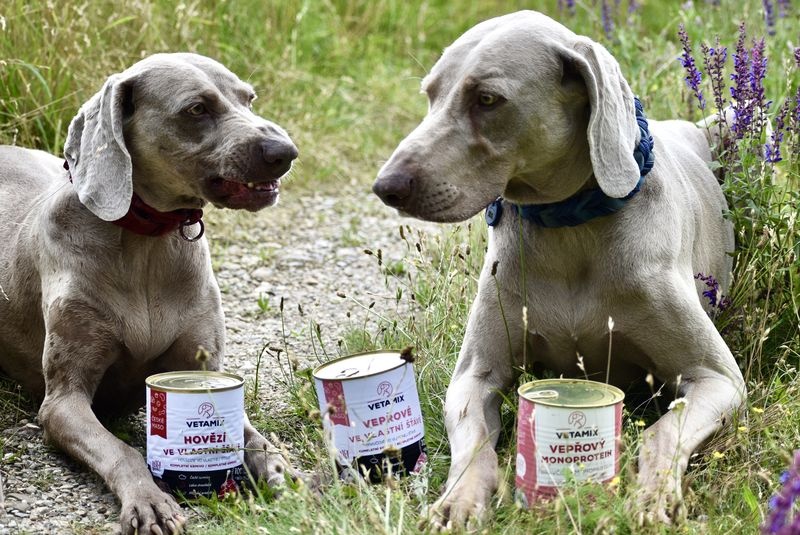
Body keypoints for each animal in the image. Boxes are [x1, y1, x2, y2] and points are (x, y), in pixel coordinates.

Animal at [0, 53, 298, 534]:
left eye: (249, 99)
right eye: (196, 109)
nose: (286, 152)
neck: (145, 242)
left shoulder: (204, 368)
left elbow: (252, 434)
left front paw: (279, 469)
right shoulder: (63, 401)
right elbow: (122, 451)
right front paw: (149, 499)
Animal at [372, 10, 745, 528]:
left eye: (487, 99)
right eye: (430, 93)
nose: (386, 186)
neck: (568, 227)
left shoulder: (718, 378)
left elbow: (664, 432)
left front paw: (652, 495)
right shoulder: (474, 375)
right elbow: (475, 438)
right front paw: (459, 500)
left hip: (731, 117)